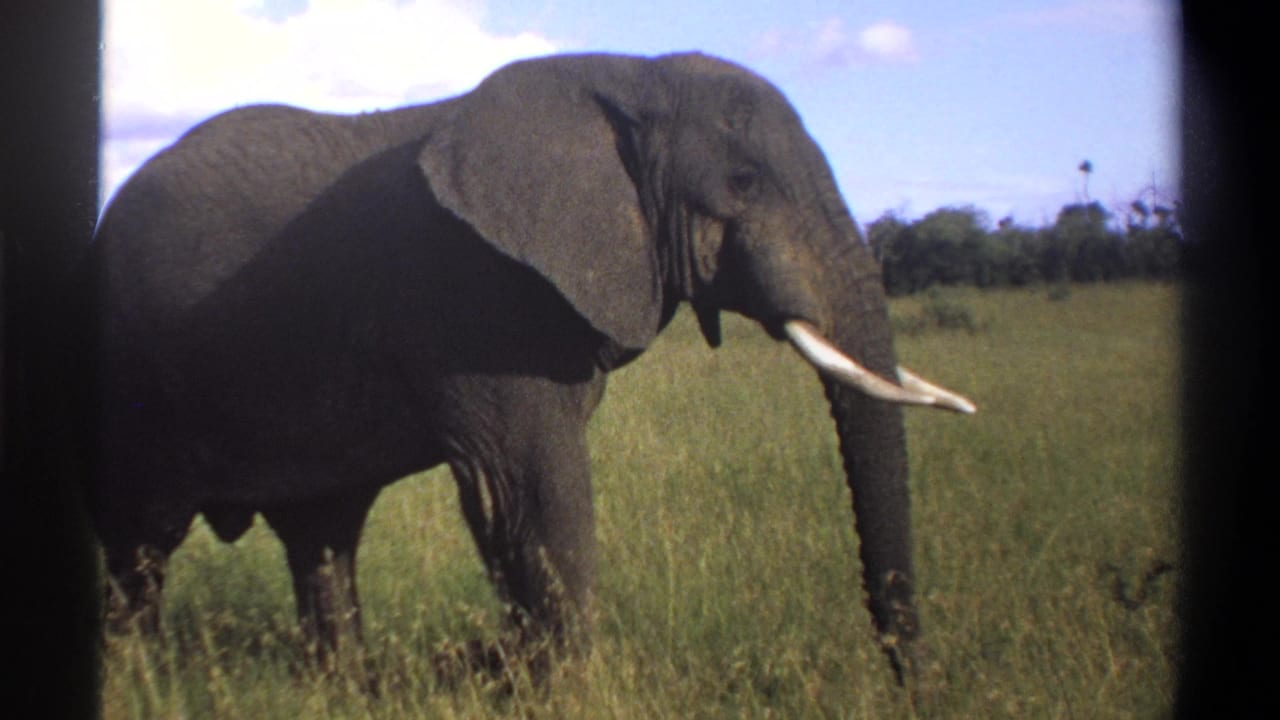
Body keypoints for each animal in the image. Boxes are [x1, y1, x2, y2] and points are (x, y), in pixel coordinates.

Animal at [85, 51, 974, 685]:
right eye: (743, 182)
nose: (915, 686)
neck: (629, 76)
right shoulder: (476, 297)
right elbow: (527, 488)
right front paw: (566, 692)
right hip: (129, 382)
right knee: (142, 547)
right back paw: (143, 684)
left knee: (322, 535)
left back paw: (341, 686)